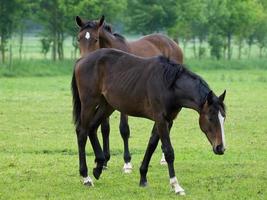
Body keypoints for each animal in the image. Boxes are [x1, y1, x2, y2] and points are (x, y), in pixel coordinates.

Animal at [71, 47, 226, 195]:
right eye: (210, 118)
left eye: (223, 118)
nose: (220, 148)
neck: (169, 85)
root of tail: (81, 61)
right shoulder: (161, 119)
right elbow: (169, 152)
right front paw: (176, 186)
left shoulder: (167, 120)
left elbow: (151, 145)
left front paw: (143, 178)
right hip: (89, 103)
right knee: (82, 132)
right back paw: (86, 177)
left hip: (107, 105)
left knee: (92, 128)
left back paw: (98, 166)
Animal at [75, 15, 184, 170]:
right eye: (79, 39)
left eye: (95, 39)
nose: (84, 61)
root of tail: (172, 43)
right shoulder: (106, 99)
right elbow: (105, 128)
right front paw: (104, 161)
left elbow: (124, 129)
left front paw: (127, 162)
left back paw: (163, 157)